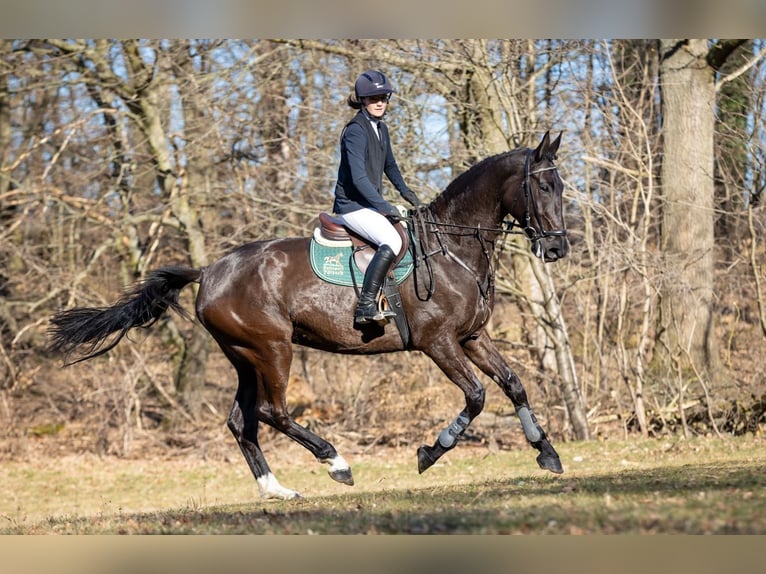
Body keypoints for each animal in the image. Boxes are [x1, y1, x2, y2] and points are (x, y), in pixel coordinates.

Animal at [48, 131, 569, 499]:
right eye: (544, 185)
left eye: (561, 186)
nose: (558, 248)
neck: (452, 248)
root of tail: (209, 270)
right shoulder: (437, 342)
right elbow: (478, 396)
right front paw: (429, 453)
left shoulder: (472, 337)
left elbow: (514, 385)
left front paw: (547, 453)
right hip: (272, 349)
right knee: (271, 412)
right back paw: (336, 462)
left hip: (244, 357)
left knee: (242, 422)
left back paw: (276, 490)